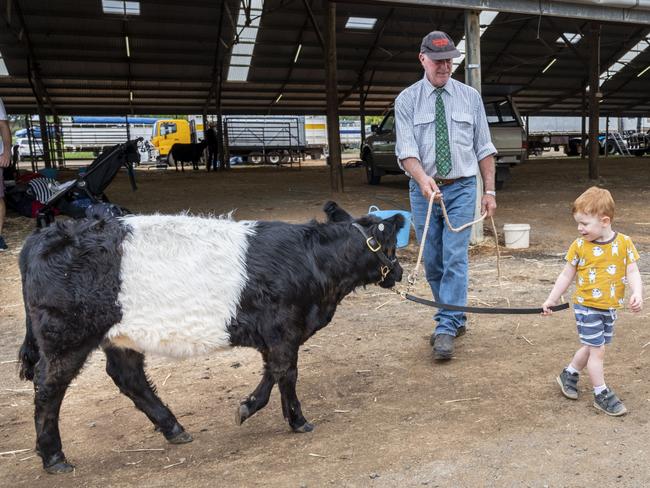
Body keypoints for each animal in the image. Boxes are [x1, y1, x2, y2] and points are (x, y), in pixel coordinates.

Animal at [17, 201, 402, 472]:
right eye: (389, 245)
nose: (398, 272)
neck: (314, 261)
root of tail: (44, 236)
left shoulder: (276, 334)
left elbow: (272, 373)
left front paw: (248, 407)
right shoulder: (283, 328)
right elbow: (286, 373)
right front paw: (297, 421)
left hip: (120, 335)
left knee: (129, 377)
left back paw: (173, 428)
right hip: (66, 335)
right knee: (49, 387)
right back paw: (54, 457)